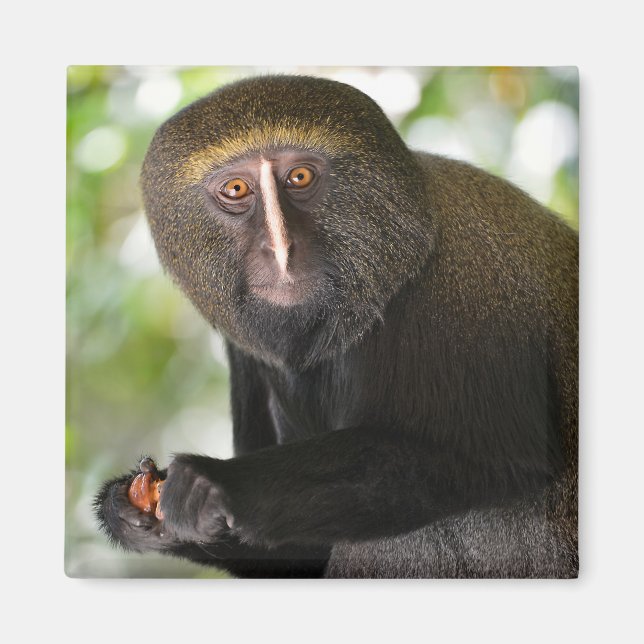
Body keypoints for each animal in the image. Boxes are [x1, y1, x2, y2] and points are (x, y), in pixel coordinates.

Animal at [94, 74, 578, 579]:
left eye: (299, 177)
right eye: (236, 188)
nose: (281, 248)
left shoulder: (465, 285)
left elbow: (491, 458)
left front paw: (220, 483)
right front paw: (129, 511)